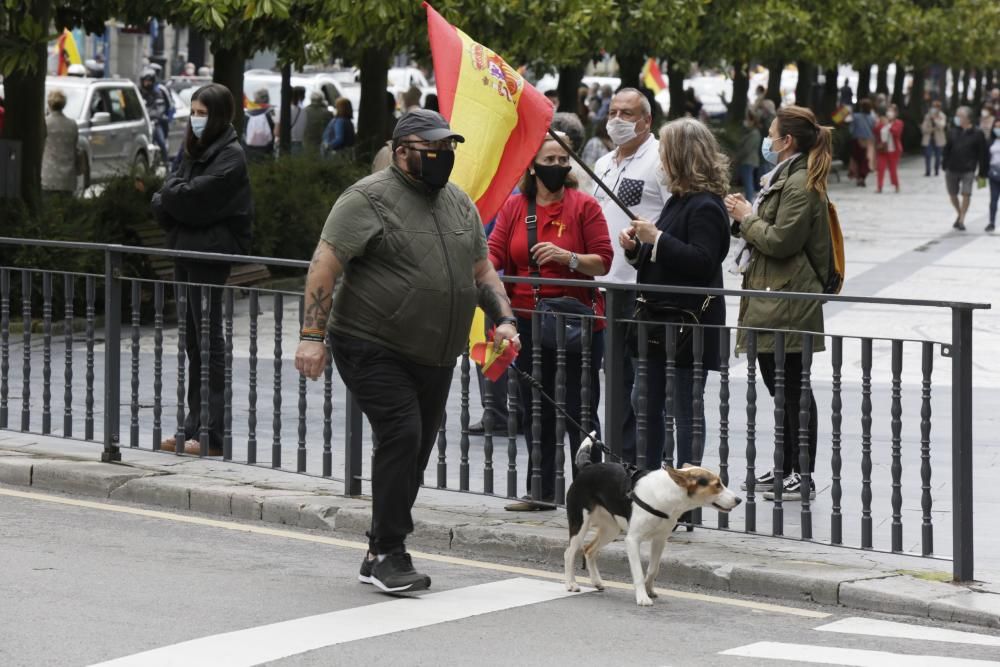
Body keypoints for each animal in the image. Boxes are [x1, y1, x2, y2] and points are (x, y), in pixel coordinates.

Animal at [564, 436, 744, 608]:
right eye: (717, 485)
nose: (739, 500)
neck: (669, 494)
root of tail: (587, 467)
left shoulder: (660, 539)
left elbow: (653, 569)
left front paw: (648, 589)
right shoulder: (632, 540)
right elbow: (638, 572)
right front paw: (642, 597)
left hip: (611, 529)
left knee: (589, 550)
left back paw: (596, 581)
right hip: (580, 524)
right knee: (569, 552)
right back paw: (571, 583)